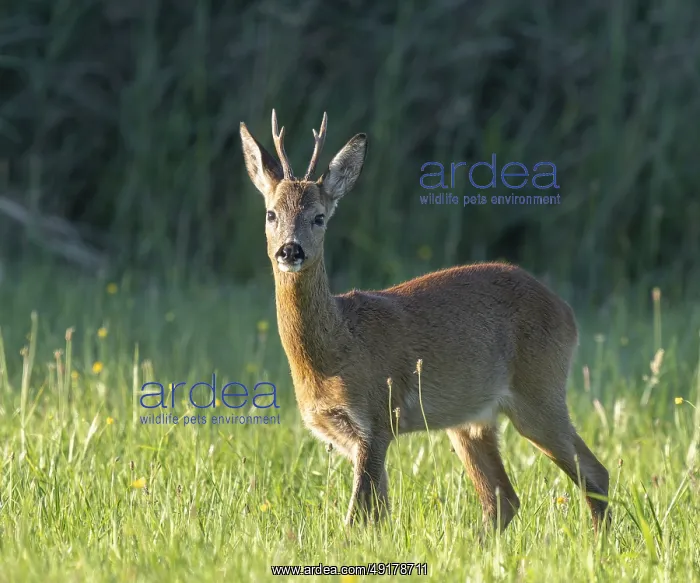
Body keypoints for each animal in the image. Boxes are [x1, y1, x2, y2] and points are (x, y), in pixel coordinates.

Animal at [239, 110, 610, 534]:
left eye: (319, 217)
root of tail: (566, 311)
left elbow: (359, 516)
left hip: (540, 392)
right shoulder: (350, 435)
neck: (336, 347)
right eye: (271, 213)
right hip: (472, 420)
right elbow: (378, 512)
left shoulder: (377, 417)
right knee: (503, 499)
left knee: (594, 474)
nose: (290, 250)